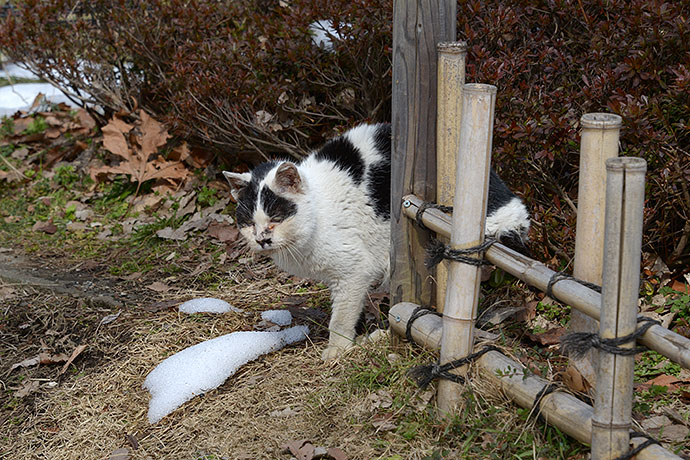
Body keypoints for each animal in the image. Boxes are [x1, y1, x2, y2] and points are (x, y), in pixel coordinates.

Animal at [223, 124, 528, 362]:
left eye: (276, 217)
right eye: (249, 223)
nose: (262, 239)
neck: (318, 212)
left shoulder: (353, 270)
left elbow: (341, 316)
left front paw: (339, 349)